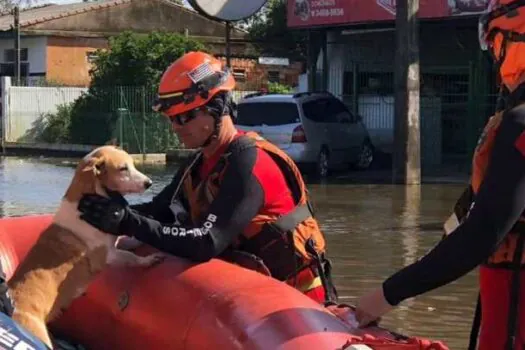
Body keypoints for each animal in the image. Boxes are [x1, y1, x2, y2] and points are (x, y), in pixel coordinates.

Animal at [6, 144, 164, 348]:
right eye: (123, 168)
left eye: (133, 164)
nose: (149, 183)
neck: (89, 203)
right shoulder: (108, 255)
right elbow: (132, 258)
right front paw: (149, 260)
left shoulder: (113, 242)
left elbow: (126, 241)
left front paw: (139, 241)